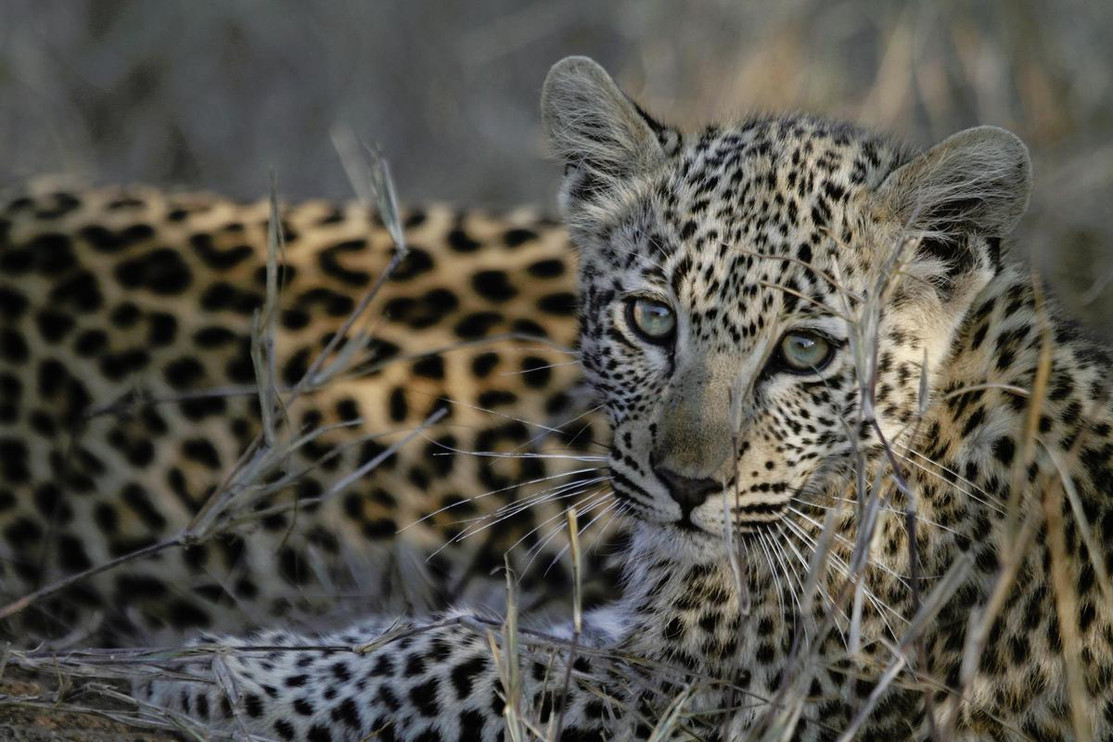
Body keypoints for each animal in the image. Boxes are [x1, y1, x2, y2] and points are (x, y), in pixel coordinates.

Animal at [16, 53, 1113, 741]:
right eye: (653, 320)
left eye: (805, 349)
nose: (685, 485)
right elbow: (453, 629)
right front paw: (210, 646)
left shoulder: (743, 704)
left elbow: (462, 656)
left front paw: (212, 678)